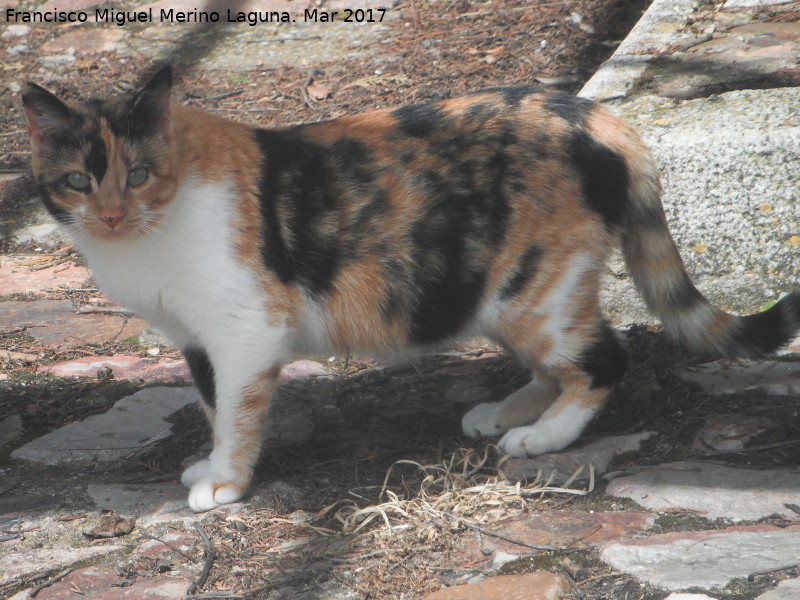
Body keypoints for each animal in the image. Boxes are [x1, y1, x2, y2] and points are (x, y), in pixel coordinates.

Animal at [21, 65, 796, 508]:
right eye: (79, 180)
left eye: (139, 172)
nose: (112, 213)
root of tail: (596, 114)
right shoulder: (196, 340)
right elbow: (214, 407)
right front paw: (211, 463)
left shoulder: (245, 329)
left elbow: (237, 414)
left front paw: (227, 483)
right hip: (491, 291)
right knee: (558, 361)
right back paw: (506, 412)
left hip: (531, 288)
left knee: (603, 358)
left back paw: (542, 437)